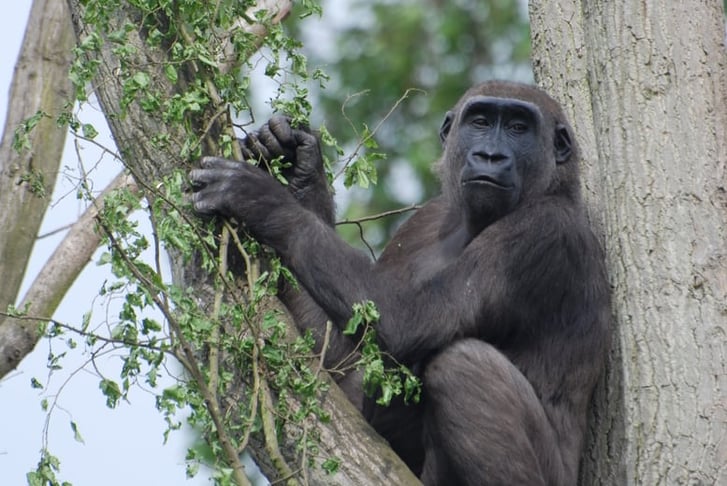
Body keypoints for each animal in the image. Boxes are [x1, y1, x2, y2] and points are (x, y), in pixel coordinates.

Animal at [191, 81, 612, 484]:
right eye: (480, 122)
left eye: (518, 128)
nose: (490, 156)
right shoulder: (424, 220)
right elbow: (349, 357)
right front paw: (301, 166)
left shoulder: (544, 232)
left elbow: (407, 321)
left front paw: (263, 201)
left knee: (462, 366)